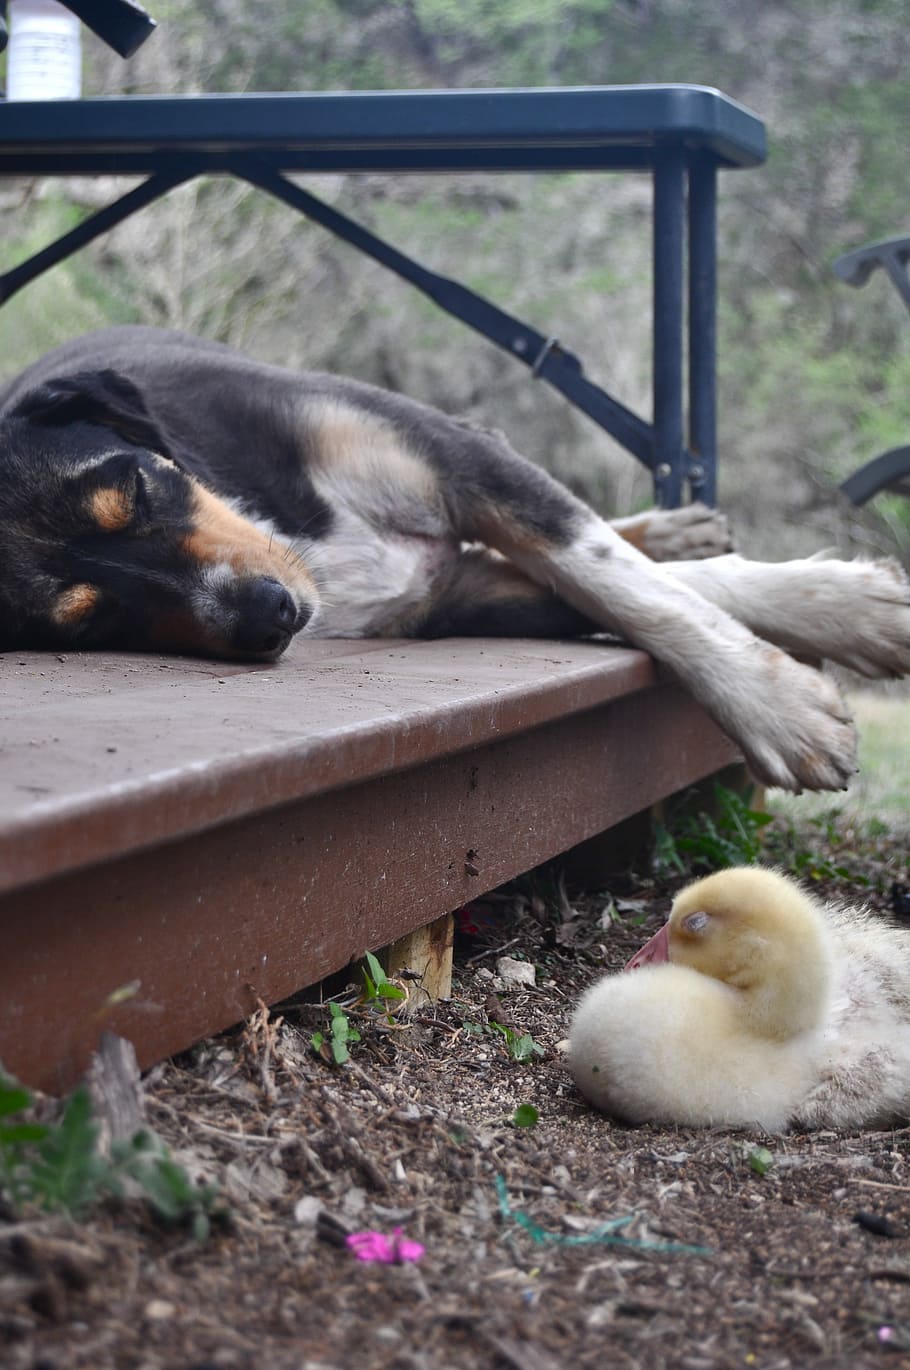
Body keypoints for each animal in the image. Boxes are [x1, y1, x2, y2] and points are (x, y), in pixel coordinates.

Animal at [1, 323, 910, 794]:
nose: (270, 616)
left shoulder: (457, 460)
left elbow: (630, 582)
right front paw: (796, 670)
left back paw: (672, 530)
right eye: (92, 622)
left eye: (137, 487)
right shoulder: (457, 594)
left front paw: (796, 673)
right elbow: (642, 593)